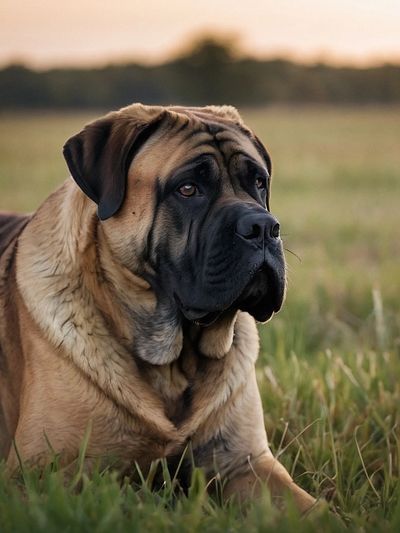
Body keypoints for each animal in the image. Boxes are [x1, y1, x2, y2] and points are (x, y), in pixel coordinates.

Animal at [0, 103, 318, 512]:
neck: (173, 363)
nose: (263, 227)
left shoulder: (245, 463)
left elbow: (314, 510)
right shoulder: (37, 477)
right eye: (188, 189)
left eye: (259, 183)